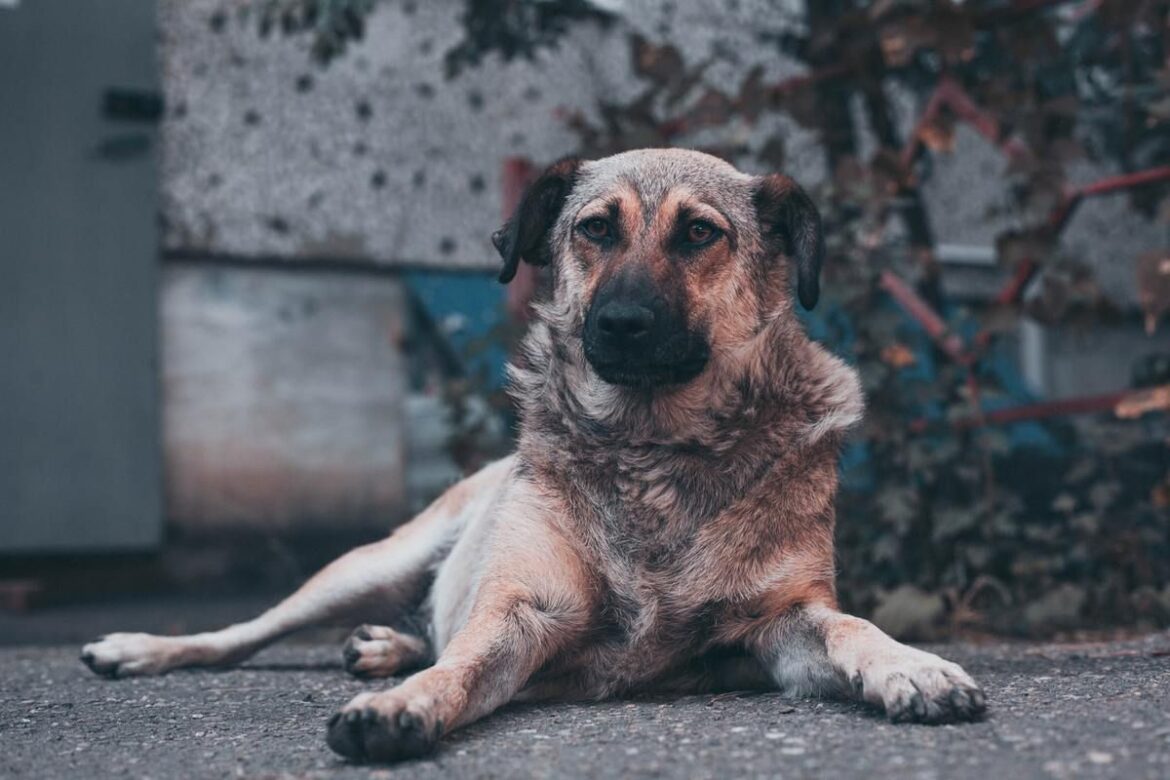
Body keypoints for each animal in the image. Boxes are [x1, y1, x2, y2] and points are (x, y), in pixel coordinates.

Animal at [77, 147, 982, 762]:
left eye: (700, 233)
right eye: (595, 230)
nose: (620, 323)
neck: (652, 443)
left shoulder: (778, 626)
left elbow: (851, 625)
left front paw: (913, 667)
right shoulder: (522, 610)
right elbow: (464, 665)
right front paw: (403, 706)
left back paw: (385, 646)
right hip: (367, 564)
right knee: (245, 632)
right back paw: (144, 648)